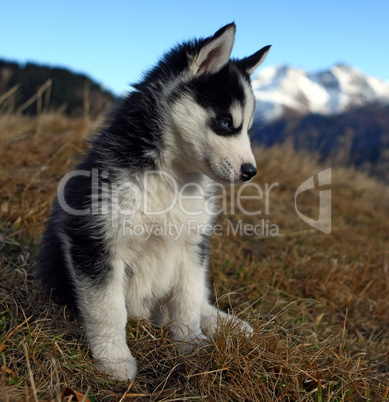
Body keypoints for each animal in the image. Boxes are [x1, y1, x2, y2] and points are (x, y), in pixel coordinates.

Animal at [38, 22, 272, 380]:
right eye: (224, 123)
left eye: (247, 128)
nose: (250, 172)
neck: (171, 178)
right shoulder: (93, 239)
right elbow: (108, 308)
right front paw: (114, 359)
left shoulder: (192, 244)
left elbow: (187, 300)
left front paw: (191, 345)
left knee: (197, 298)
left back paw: (224, 322)